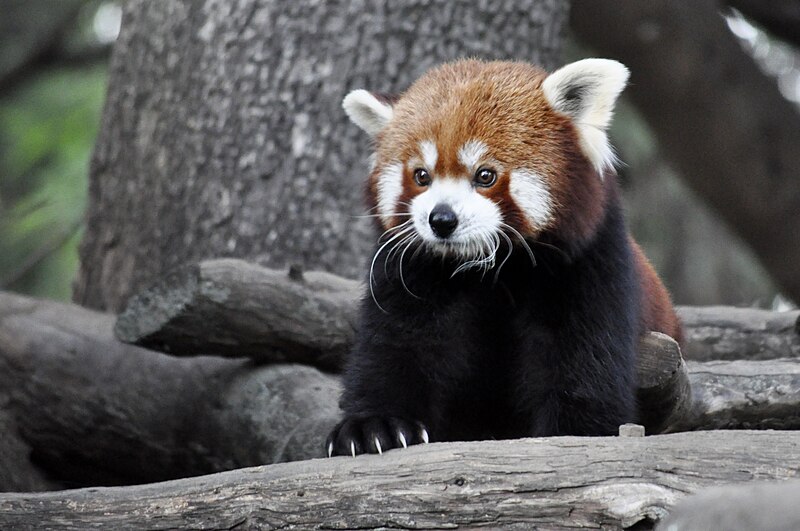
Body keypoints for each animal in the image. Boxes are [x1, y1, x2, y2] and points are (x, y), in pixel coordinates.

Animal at [324, 58, 680, 458]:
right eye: (421, 176)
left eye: (485, 175)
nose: (441, 220)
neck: (491, 272)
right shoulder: (408, 269)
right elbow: (394, 346)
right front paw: (374, 425)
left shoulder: (591, 263)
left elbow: (586, 360)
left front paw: (575, 431)